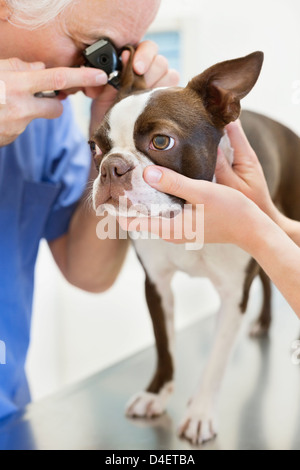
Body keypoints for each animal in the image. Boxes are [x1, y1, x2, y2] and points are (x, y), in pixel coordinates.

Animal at [90, 50, 300, 444]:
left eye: (161, 142)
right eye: (96, 147)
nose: (112, 166)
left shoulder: (232, 295)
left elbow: (216, 360)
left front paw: (200, 412)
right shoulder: (157, 284)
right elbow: (164, 345)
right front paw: (157, 393)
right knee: (266, 279)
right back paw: (264, 322)